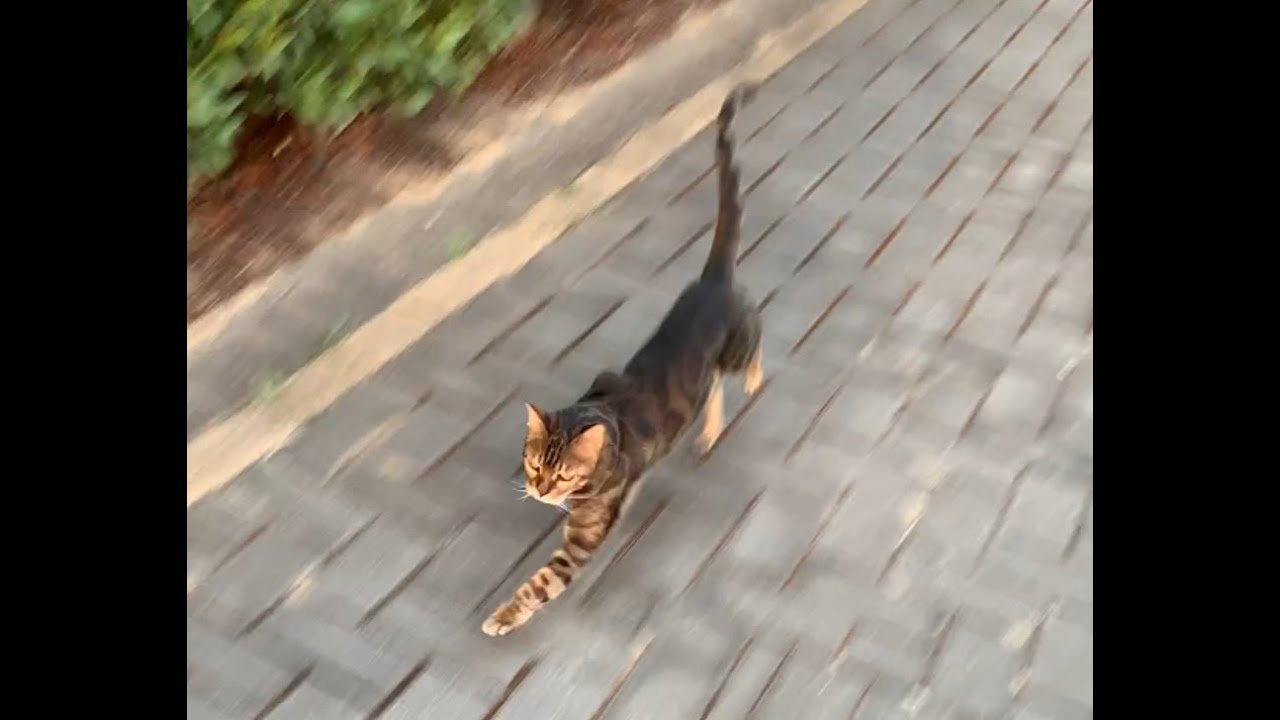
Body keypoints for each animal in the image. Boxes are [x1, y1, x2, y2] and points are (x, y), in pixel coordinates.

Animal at [482, 84, 765, 637]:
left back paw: (755, 381)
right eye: (534, 463)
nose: (541, 492)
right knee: (712, 390)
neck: (598, 413)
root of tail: (712, 280)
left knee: (755, 344)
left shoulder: (582, 541)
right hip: (708, 373)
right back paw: (708, 431)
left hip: (739, 344)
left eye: (562, 475)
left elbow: (540, 584)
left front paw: (503, 616)